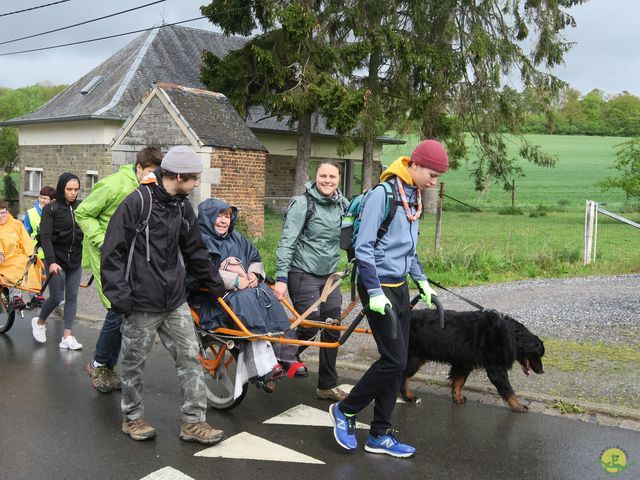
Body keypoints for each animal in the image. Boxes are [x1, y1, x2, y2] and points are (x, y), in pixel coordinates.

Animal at [402, 308, 544, 412]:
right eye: (538, 355)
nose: (542, 371)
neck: (510, 334)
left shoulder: (463, 363)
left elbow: (459, 382)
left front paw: (457, 397)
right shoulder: (496, 369)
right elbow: (508, 390)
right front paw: (518, 405)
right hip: (414, 358)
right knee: (403, 378)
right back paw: (409, 397)